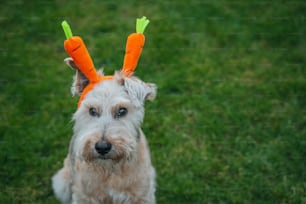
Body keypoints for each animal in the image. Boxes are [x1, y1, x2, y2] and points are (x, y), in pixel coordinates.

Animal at [51, 57, 157, 204]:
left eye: (122, 111)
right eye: (92, 110)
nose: (102, 147)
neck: (110, 170)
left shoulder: (142, 195)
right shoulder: (85, 196)